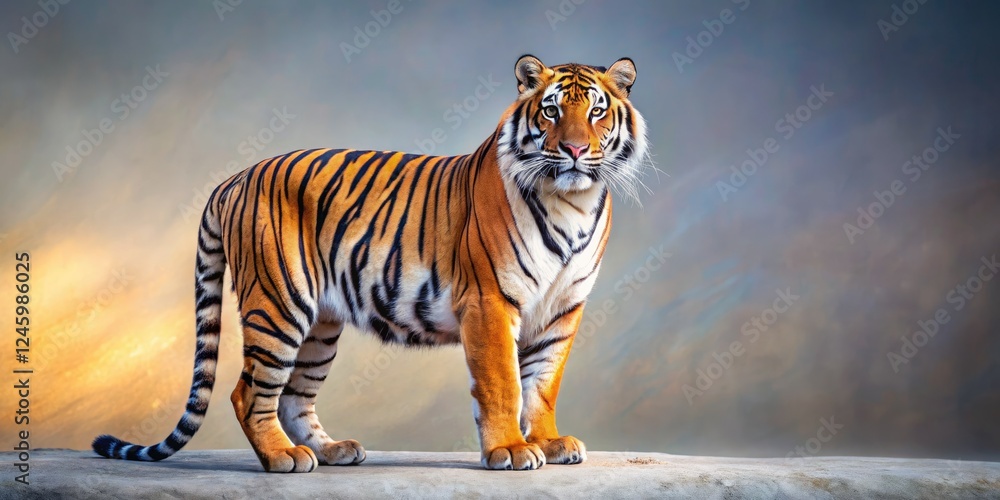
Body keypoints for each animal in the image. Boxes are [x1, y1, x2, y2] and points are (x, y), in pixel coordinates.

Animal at [92, 54, 650, 472]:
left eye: (596, 112)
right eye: (552, 112)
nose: (574, 149)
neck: (572, 202)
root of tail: (235, 177)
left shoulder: (562, 310)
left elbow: (543, 384)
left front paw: (552, 443)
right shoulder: (490, 301)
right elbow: (503, 383)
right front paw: (510, 450)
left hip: (320, 325)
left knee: (294, 396)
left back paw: (330, 451)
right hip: (278, 304)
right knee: (249, 391)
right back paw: (282, 458)